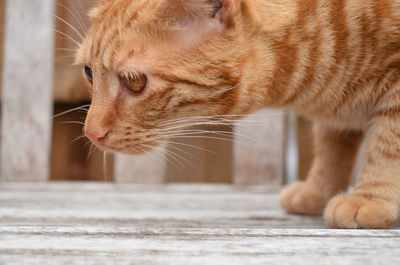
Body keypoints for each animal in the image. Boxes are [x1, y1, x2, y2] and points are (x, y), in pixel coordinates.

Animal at [76, 0, 400, 227]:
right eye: (89, 72)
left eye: (135, 81)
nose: (91, 132)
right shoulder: (334, 120)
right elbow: (332, 150)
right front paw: (317, 191)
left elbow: (387, 147)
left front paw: (371, 199)